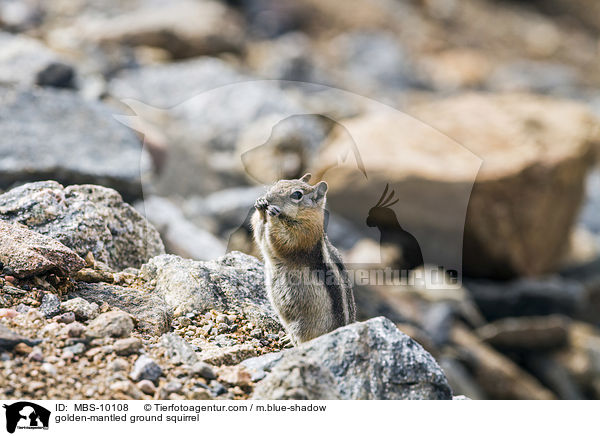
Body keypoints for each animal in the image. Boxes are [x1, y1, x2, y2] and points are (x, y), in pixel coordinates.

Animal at [250, 172, 354, 346]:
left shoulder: (303, 234)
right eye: (280, 181)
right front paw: (260, 205)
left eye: (297, 195)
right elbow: (259, 232)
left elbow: (286, 240)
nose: (268, 198)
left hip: (302, 328)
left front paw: (273, 214)